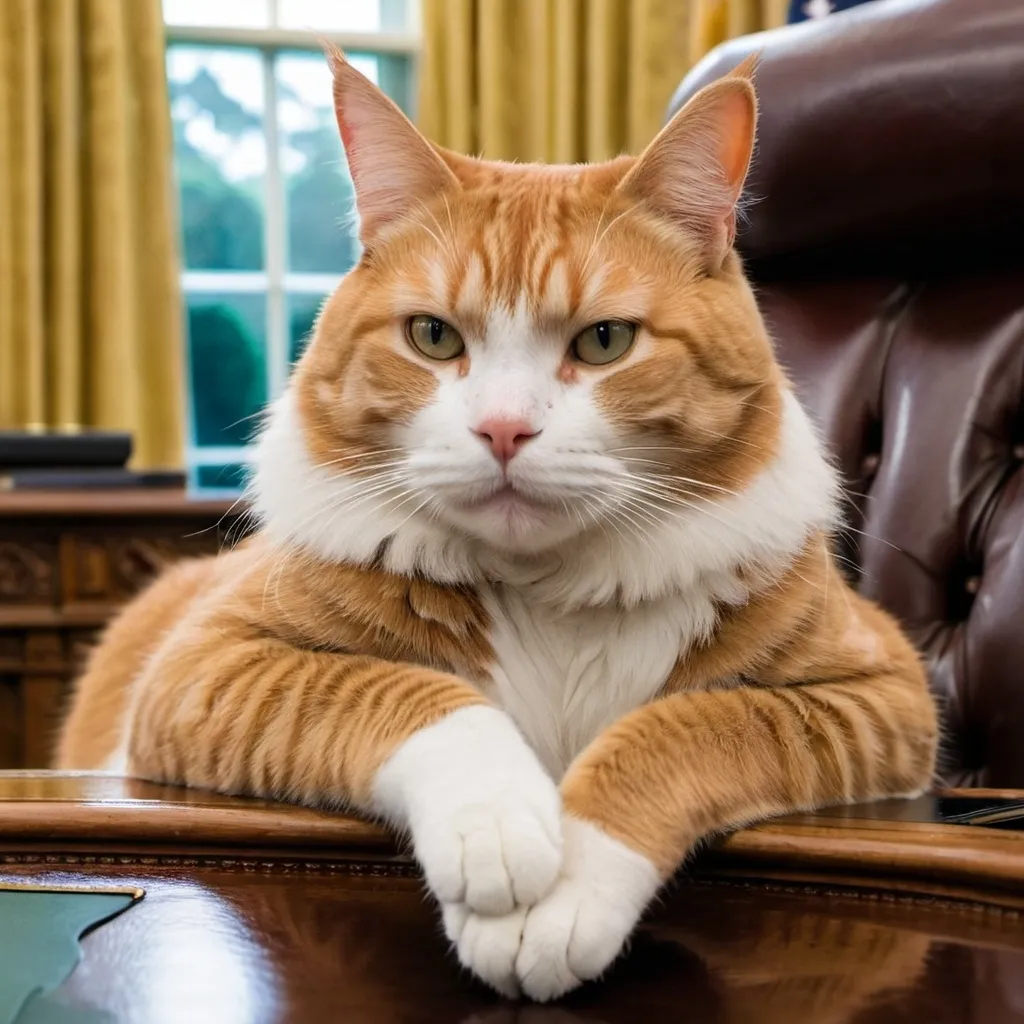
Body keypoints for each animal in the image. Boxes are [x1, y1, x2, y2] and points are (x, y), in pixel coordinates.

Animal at [54, 49, 937, 999]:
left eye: (604, 343)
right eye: (434, 337)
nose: (504, 430)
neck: (545, 589)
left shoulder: (878, 693)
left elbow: (684, 727)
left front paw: (568, 887)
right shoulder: (207, 667)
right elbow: (408, 692)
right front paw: (499, 824)